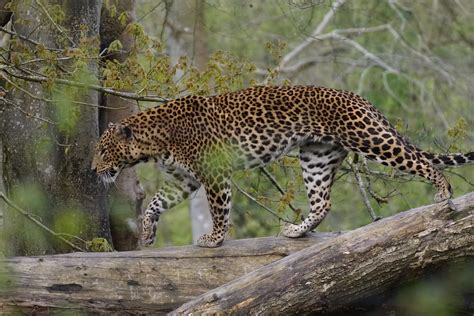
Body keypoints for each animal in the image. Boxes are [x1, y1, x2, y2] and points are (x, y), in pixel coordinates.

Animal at [90, 85, 472, 248]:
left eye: (104, 150)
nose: (93, 170)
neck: (154, 141)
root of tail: (359, 98)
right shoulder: (186, 180)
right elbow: (156, 203)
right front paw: (147, 232)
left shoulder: (214, 174)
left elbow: (219, 209)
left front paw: (214, 239)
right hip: (316, 157)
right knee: (322, 202)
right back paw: (297, 231)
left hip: (370, 139)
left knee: (419, 161)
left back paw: (443, 192)